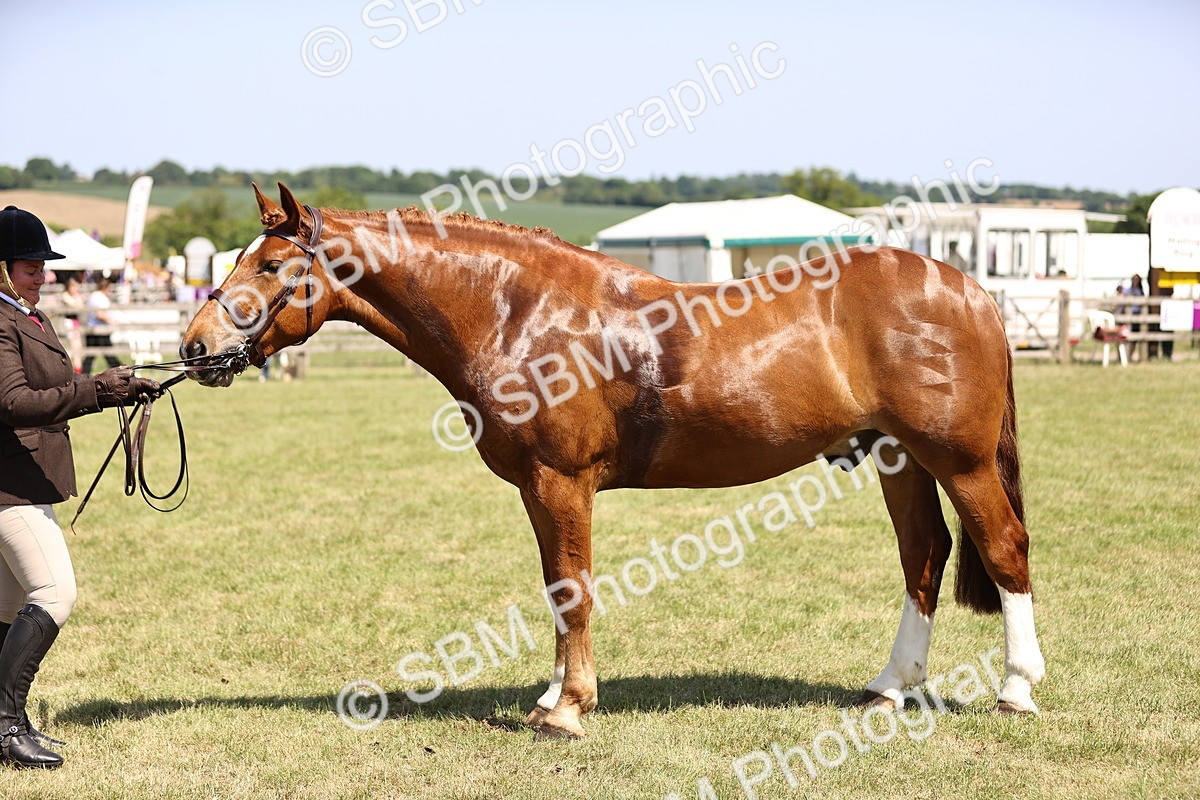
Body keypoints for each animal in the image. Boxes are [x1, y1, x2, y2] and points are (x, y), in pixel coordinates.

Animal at [180, 184, 1045, 739]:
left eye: (268, 267)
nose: (194, 347)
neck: (518, 312)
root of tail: (968, 289)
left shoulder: (561, 483)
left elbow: (573, 588)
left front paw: (569, 709)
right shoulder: (538, 490)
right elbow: (556, 587)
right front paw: (551, 694)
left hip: (961, 462)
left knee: (1004, 550)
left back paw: (1015, 691)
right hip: (900, 460)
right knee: (924, 556)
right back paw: (889, 690)